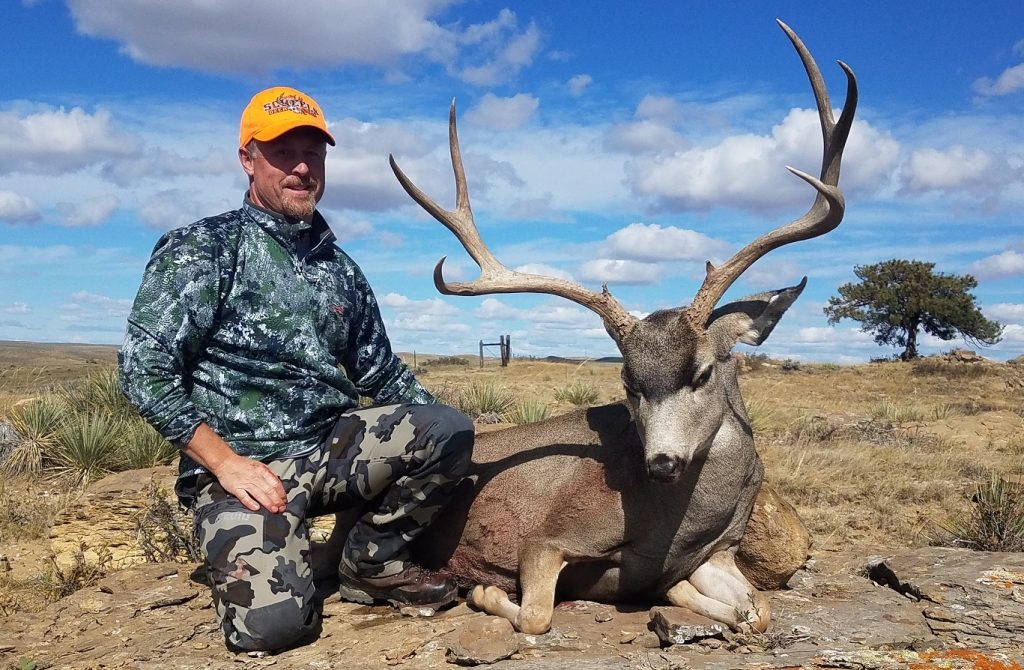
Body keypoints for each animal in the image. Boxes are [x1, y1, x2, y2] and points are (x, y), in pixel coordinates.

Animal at [319, 19, 856, 639]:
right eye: (628, 382)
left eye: (701, 372)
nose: (662, 463)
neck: (680, 520)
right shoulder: (548, 539)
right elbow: (536, 613)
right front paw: (484, 591)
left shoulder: (715, 553)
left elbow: (758, 611)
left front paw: (695, 600)